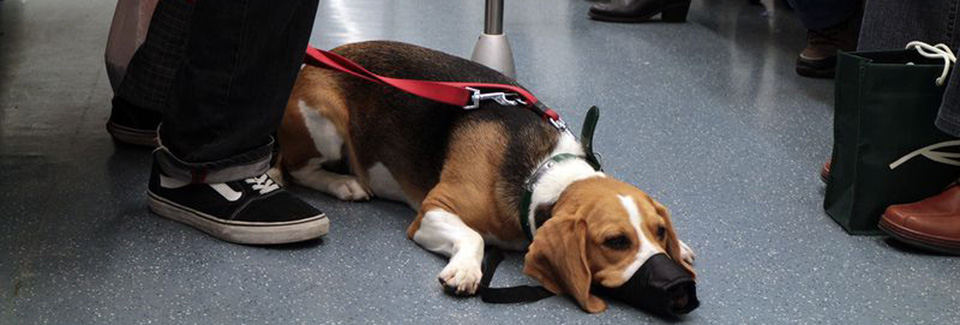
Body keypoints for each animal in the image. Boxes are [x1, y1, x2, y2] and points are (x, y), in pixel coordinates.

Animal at [274, 40, 692, 312]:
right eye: (615, 242)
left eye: (659, 232)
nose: (681, 285)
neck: (539, 175)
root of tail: (312, 64)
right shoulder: (432, 211)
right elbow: (473, 236)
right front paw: (464, 270)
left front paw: (682, 246)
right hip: (324, 119)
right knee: (298, 170)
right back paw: (344, 184)